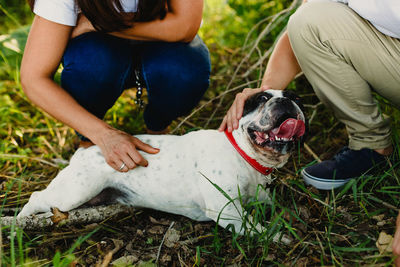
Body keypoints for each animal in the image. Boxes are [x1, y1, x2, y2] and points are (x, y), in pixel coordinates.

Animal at [18, 90, 306, 239]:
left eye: (297, 97)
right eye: (261, 99)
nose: (287, 100)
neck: (244, 154)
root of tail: (86, 149)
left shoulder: (262, 197)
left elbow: (277, 207)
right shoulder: (228, 212)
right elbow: (259, 229)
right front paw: (280, 237)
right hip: (76, 191)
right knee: (38, 197)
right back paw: (21, 223)